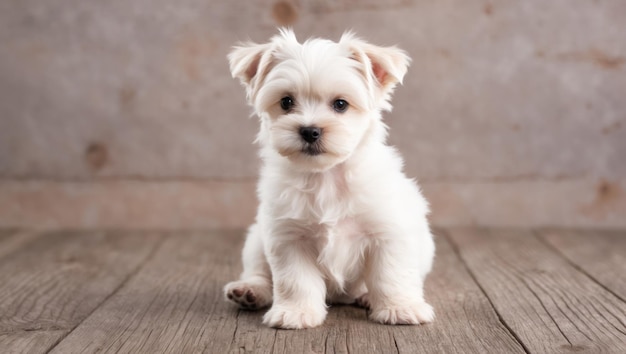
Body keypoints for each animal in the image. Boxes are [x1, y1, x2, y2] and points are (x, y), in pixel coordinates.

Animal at [224, 28, 434, 330]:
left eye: (341, 104)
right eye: (286, 102)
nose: (309, 131)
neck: (326, 177)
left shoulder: (389, 233)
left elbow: (392, 274)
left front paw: (401, 308)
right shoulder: (289, 238)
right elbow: (295, 280)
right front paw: (296, 312)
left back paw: (367, 296)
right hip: (255, 239)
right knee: (259, 271)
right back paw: (249, 291)